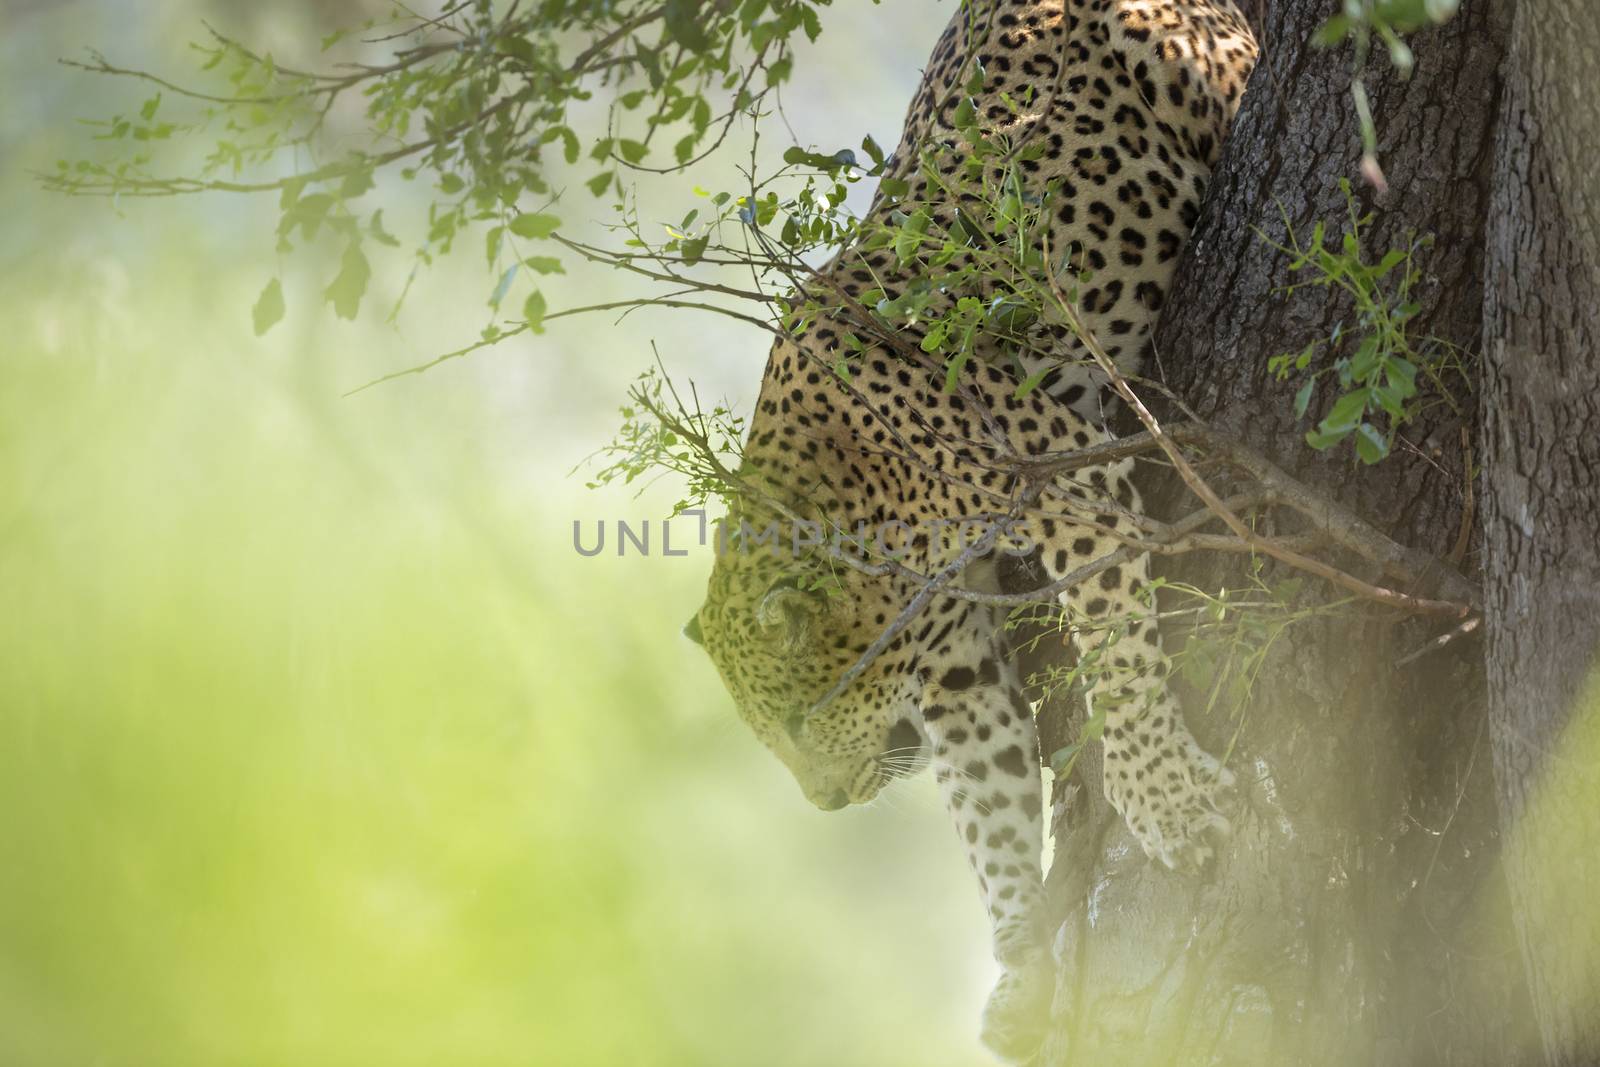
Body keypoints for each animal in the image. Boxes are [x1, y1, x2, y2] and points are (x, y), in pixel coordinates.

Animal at [681, 0, 1254, 1062]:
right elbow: (987, 804)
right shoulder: (954, 660)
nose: (822, 803)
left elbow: (1118, 655)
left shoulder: (1073, 482)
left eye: (795, 722)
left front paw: (1168, 800)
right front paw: (1023, 961)